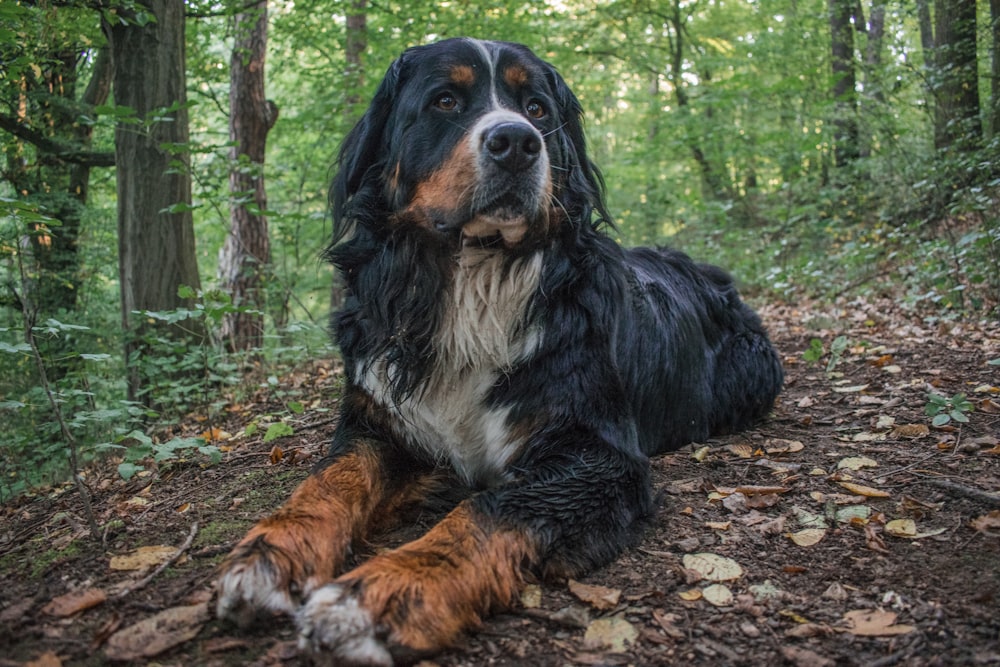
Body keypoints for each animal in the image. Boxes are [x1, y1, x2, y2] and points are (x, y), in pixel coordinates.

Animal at [215, 39, 784, 664]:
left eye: (536, 108)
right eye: (444, 101)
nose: (516, 142)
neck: (473, 282)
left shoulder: (599, 457)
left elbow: (489, 509)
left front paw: (381, 594)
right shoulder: (381, 421)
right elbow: (329, 478)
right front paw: (268, 553)